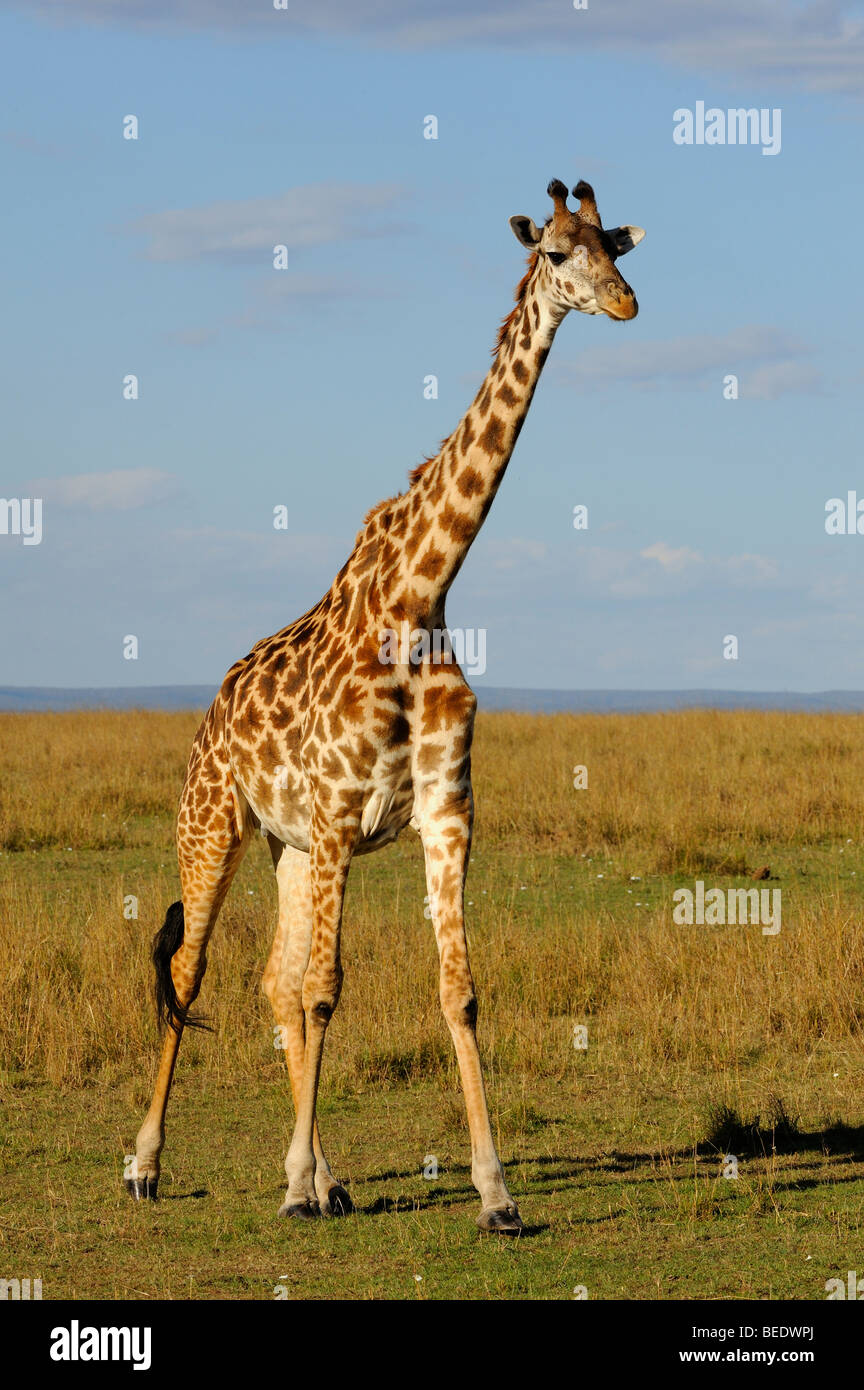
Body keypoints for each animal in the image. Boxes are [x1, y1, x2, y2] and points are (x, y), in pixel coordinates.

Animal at [127, 178, 645, 1233]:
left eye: (614, 246)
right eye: (557, 254)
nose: (626, 304)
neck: (420, 593)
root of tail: (211, 713)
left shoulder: (443, 813)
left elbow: (458, 992)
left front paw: (495, 1194)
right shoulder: (335, 816)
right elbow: (329, 991)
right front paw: (291, 1184)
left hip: (285, 848)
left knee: (272, 982)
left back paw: (325, 1176)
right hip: (217, 825)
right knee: (196, 974)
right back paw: (151, 1165)